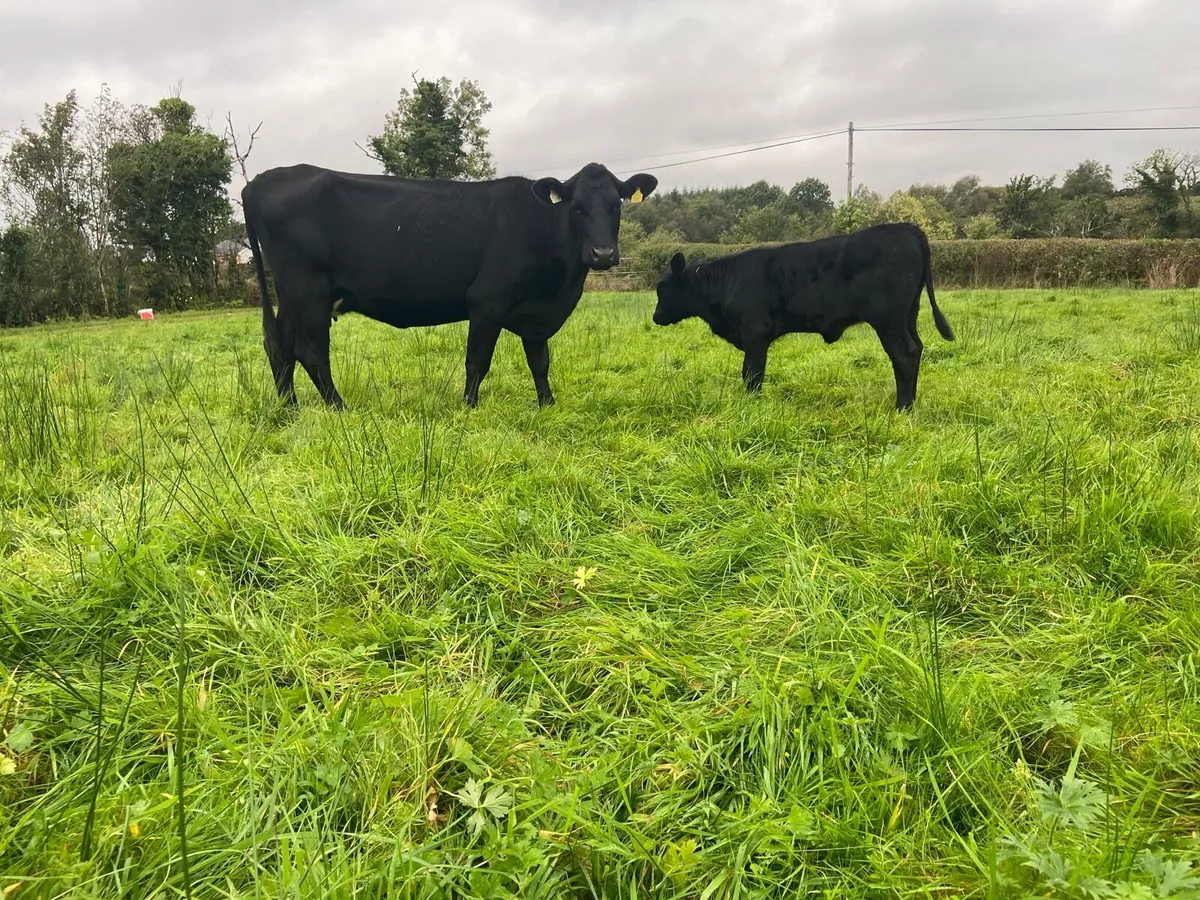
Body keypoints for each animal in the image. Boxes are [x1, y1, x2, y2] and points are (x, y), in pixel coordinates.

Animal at [241, 161, 658, 410]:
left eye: (617, 205)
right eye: (576, 207)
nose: (603, 253)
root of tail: (260, 181)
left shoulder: (535, 313)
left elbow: (540, 361)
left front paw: (547, 405)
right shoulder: (488, 303)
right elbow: (477, 361)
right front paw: (469, 407)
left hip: (293, 296)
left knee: (280, 346)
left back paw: (290, 408)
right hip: (307, 290)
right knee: (310, 352)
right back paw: (339, 408)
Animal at [650, 222, 955, 411]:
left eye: (662, 289)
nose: (655, 317)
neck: (727, 282)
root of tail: (907, 228)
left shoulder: (755, 333)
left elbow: (752, 373)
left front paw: (751, 403)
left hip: (888, 320)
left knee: (904, 354)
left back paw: (901, 408)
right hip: (908, 315)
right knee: (917, 348)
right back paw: (911, 402)